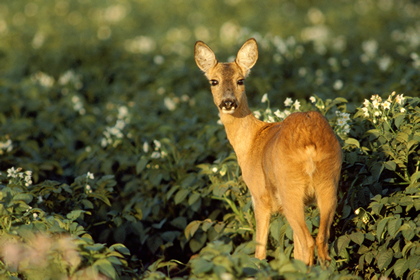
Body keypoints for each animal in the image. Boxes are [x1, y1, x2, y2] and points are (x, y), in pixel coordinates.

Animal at [195, 38, 342, 266]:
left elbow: (260, 250)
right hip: (328, 184)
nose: (228, 102)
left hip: (290, 188)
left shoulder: (259, 197)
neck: (251, 141)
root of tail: (309, 143)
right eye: (213, 81)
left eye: (240, 80)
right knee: (320, 241)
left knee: (308, 242)